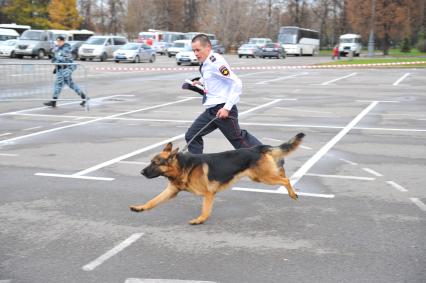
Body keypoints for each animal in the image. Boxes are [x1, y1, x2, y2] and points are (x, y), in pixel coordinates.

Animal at [129, 134, 302, 225]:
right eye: (151, 161)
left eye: (155, 163)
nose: (141, 172)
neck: (183, 166)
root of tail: (256, 148)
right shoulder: (171, 191)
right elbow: (153, 201)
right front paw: (140, 208)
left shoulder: (208, 194)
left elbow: (205, 210)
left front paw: (200, 220)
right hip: (259, 177)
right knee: (282, 175)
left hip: (263, 177)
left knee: (286, 180)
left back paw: (292, 194)